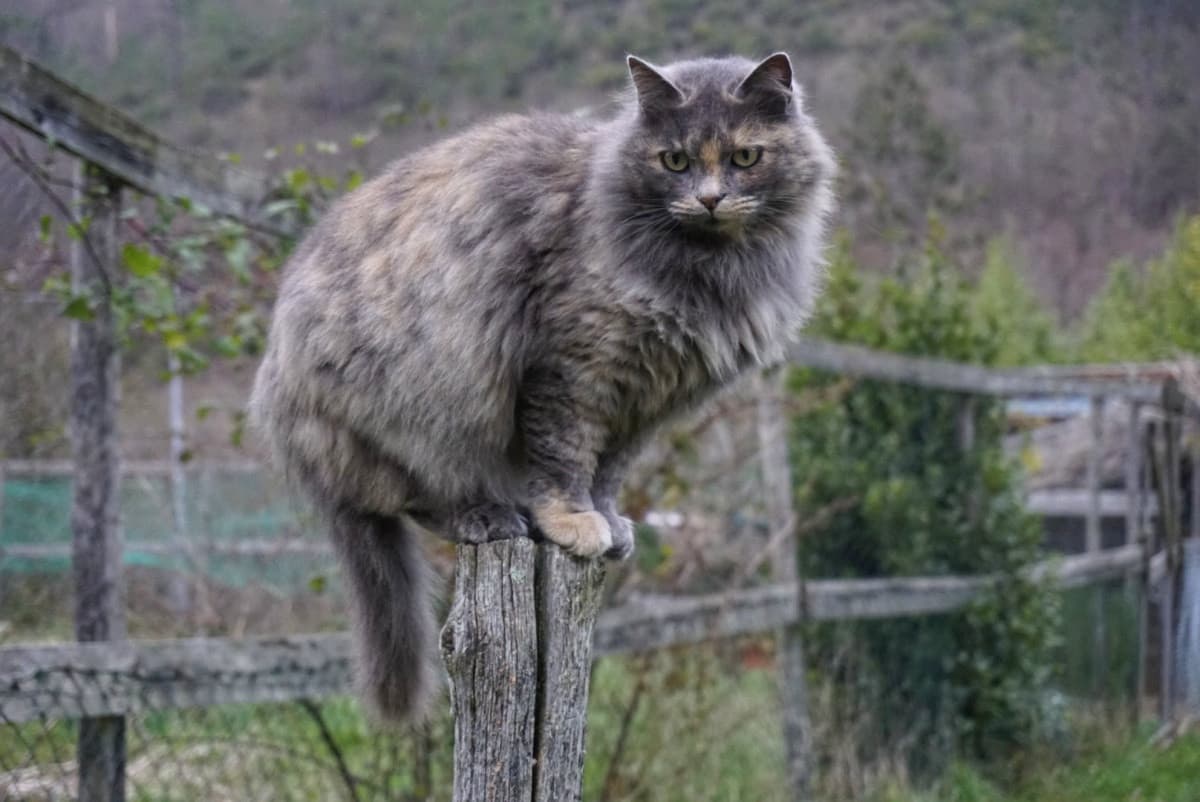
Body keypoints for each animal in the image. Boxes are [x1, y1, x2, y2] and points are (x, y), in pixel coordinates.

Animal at [249, 53, 840, 725]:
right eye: (674, 161)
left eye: (744, 157)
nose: (710, 199)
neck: (708, 274)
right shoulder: (572, 369)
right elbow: (563, 459)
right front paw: (572, 523)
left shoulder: (642, 403)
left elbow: (607, 472)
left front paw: (609, 523)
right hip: (423, 414)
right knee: (415, 496)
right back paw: (491, 518)